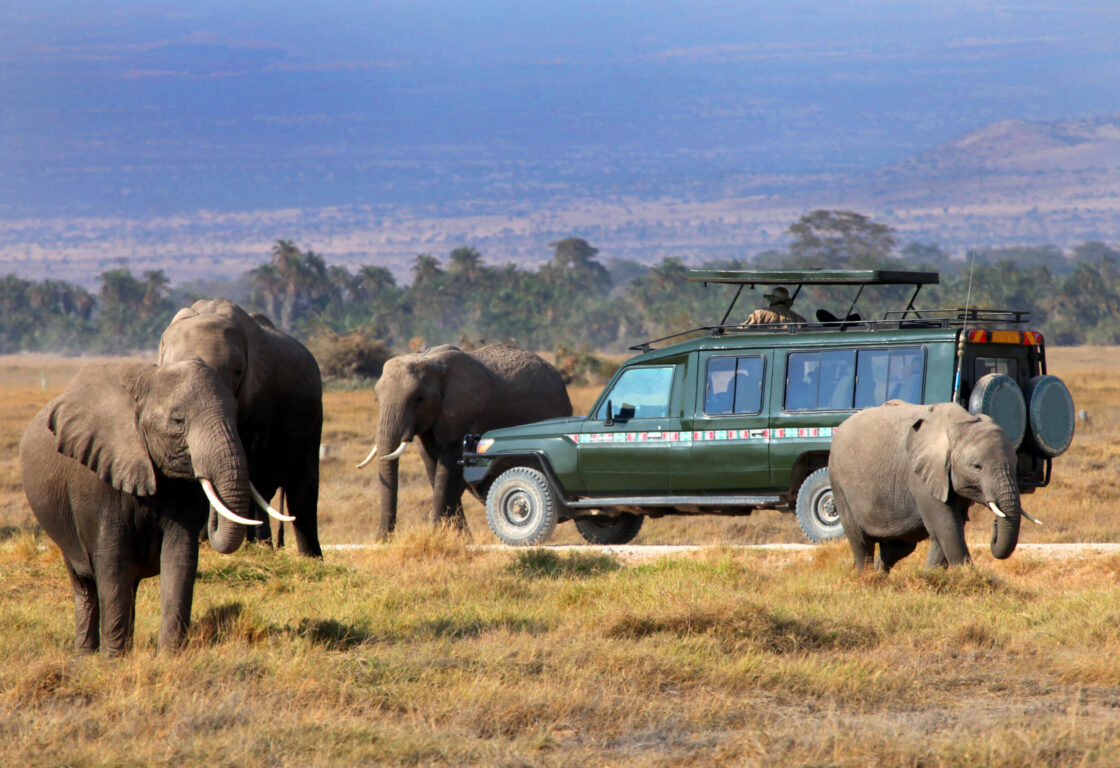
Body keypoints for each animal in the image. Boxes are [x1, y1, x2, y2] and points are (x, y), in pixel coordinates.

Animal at [19, 360, 263, 655]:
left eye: (236, 415)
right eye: (178, 420)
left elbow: (179, 558)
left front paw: (168, 656)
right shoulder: (96, 480)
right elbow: (112, 562)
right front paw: (113, 659)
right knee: (85, 584)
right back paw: (86, 656)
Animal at [159, 298, 323, 557]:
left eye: (238, 372)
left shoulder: (261, 396)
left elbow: (248, 464)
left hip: (312, 420)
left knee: (301, 491)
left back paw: (305, 557)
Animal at [358, 343, 573, 538]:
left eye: (419, 399)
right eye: (376, 398)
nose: (382, 540)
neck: (431, 361)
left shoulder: (466, 414)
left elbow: (449, 472)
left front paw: (438, 535)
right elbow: (433, 469)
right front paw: (457, 537)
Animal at [829, 400, 1041, 573]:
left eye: (1015, 464)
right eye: (977, 467)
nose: (996, 524)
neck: (961, 422)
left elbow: (950, 527)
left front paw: (930, 575)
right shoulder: (920, 476)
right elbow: (946, 524)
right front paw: (968, 577)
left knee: (898, 547)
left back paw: (879, 577)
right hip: (838, 480)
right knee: (861, 542)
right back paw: (866, 579)